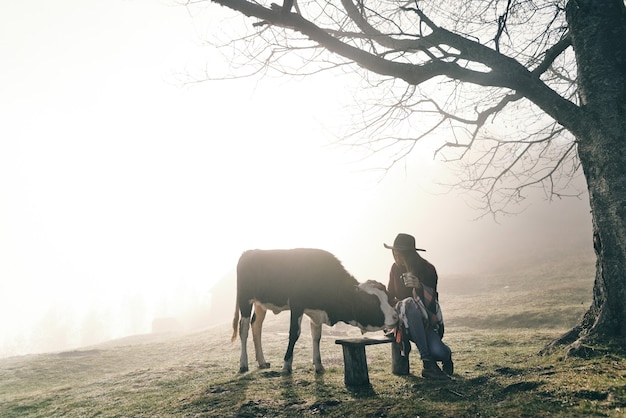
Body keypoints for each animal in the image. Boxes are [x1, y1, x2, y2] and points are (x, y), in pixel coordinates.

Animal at [232, 250, 398, 374]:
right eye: (372, 302)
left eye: (388, 297)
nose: (396, 316)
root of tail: (250, 252)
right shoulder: (297, 305)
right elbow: (294, 334)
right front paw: (286, 365)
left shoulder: (316, 313)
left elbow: (317, 337)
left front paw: (319, 365)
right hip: (245, 299)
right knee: (244, 329)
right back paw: (243, 364)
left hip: (260, 304)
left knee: (256, 326)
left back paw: (262, 361)